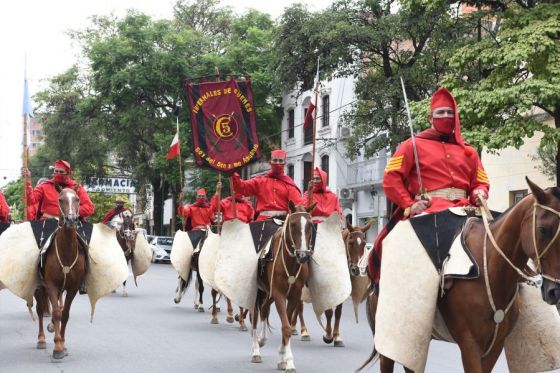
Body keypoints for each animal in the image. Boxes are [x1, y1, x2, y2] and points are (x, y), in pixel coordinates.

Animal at [34, 187, 87, 358]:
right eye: (60, 199)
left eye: (77, 199)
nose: (71, 219)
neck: (66, 253)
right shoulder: (50, 285)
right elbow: (57, 312)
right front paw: (57, 347)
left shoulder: (73, 288)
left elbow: (65, 314)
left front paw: (62, 343)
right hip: (40, 287)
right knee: (39, 310)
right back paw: (41, 339)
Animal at [249, 202, 316, 370]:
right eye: (292, 224)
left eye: (310, 225)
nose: (302, 255)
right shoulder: (279, 293)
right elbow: (286, 327)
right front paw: (289, 361)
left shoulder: (294, 295)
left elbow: (287, 324)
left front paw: (283, 358)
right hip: (258, 291)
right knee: (255, 316)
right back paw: (256, 351)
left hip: (269, 293)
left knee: (264, 309)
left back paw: (262, 340)